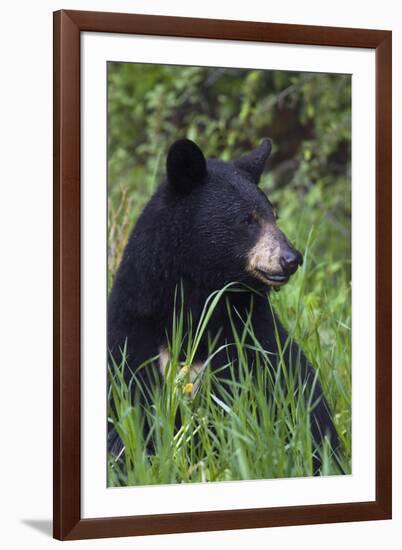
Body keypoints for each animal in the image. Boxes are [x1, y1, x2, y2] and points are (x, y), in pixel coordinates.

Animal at [107, 138, 342, 474]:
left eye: (274, 215)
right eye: (247, 220)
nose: (292, 259)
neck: (198, 299)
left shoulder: (253, 339)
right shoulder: (133, 331)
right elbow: (129, 405)